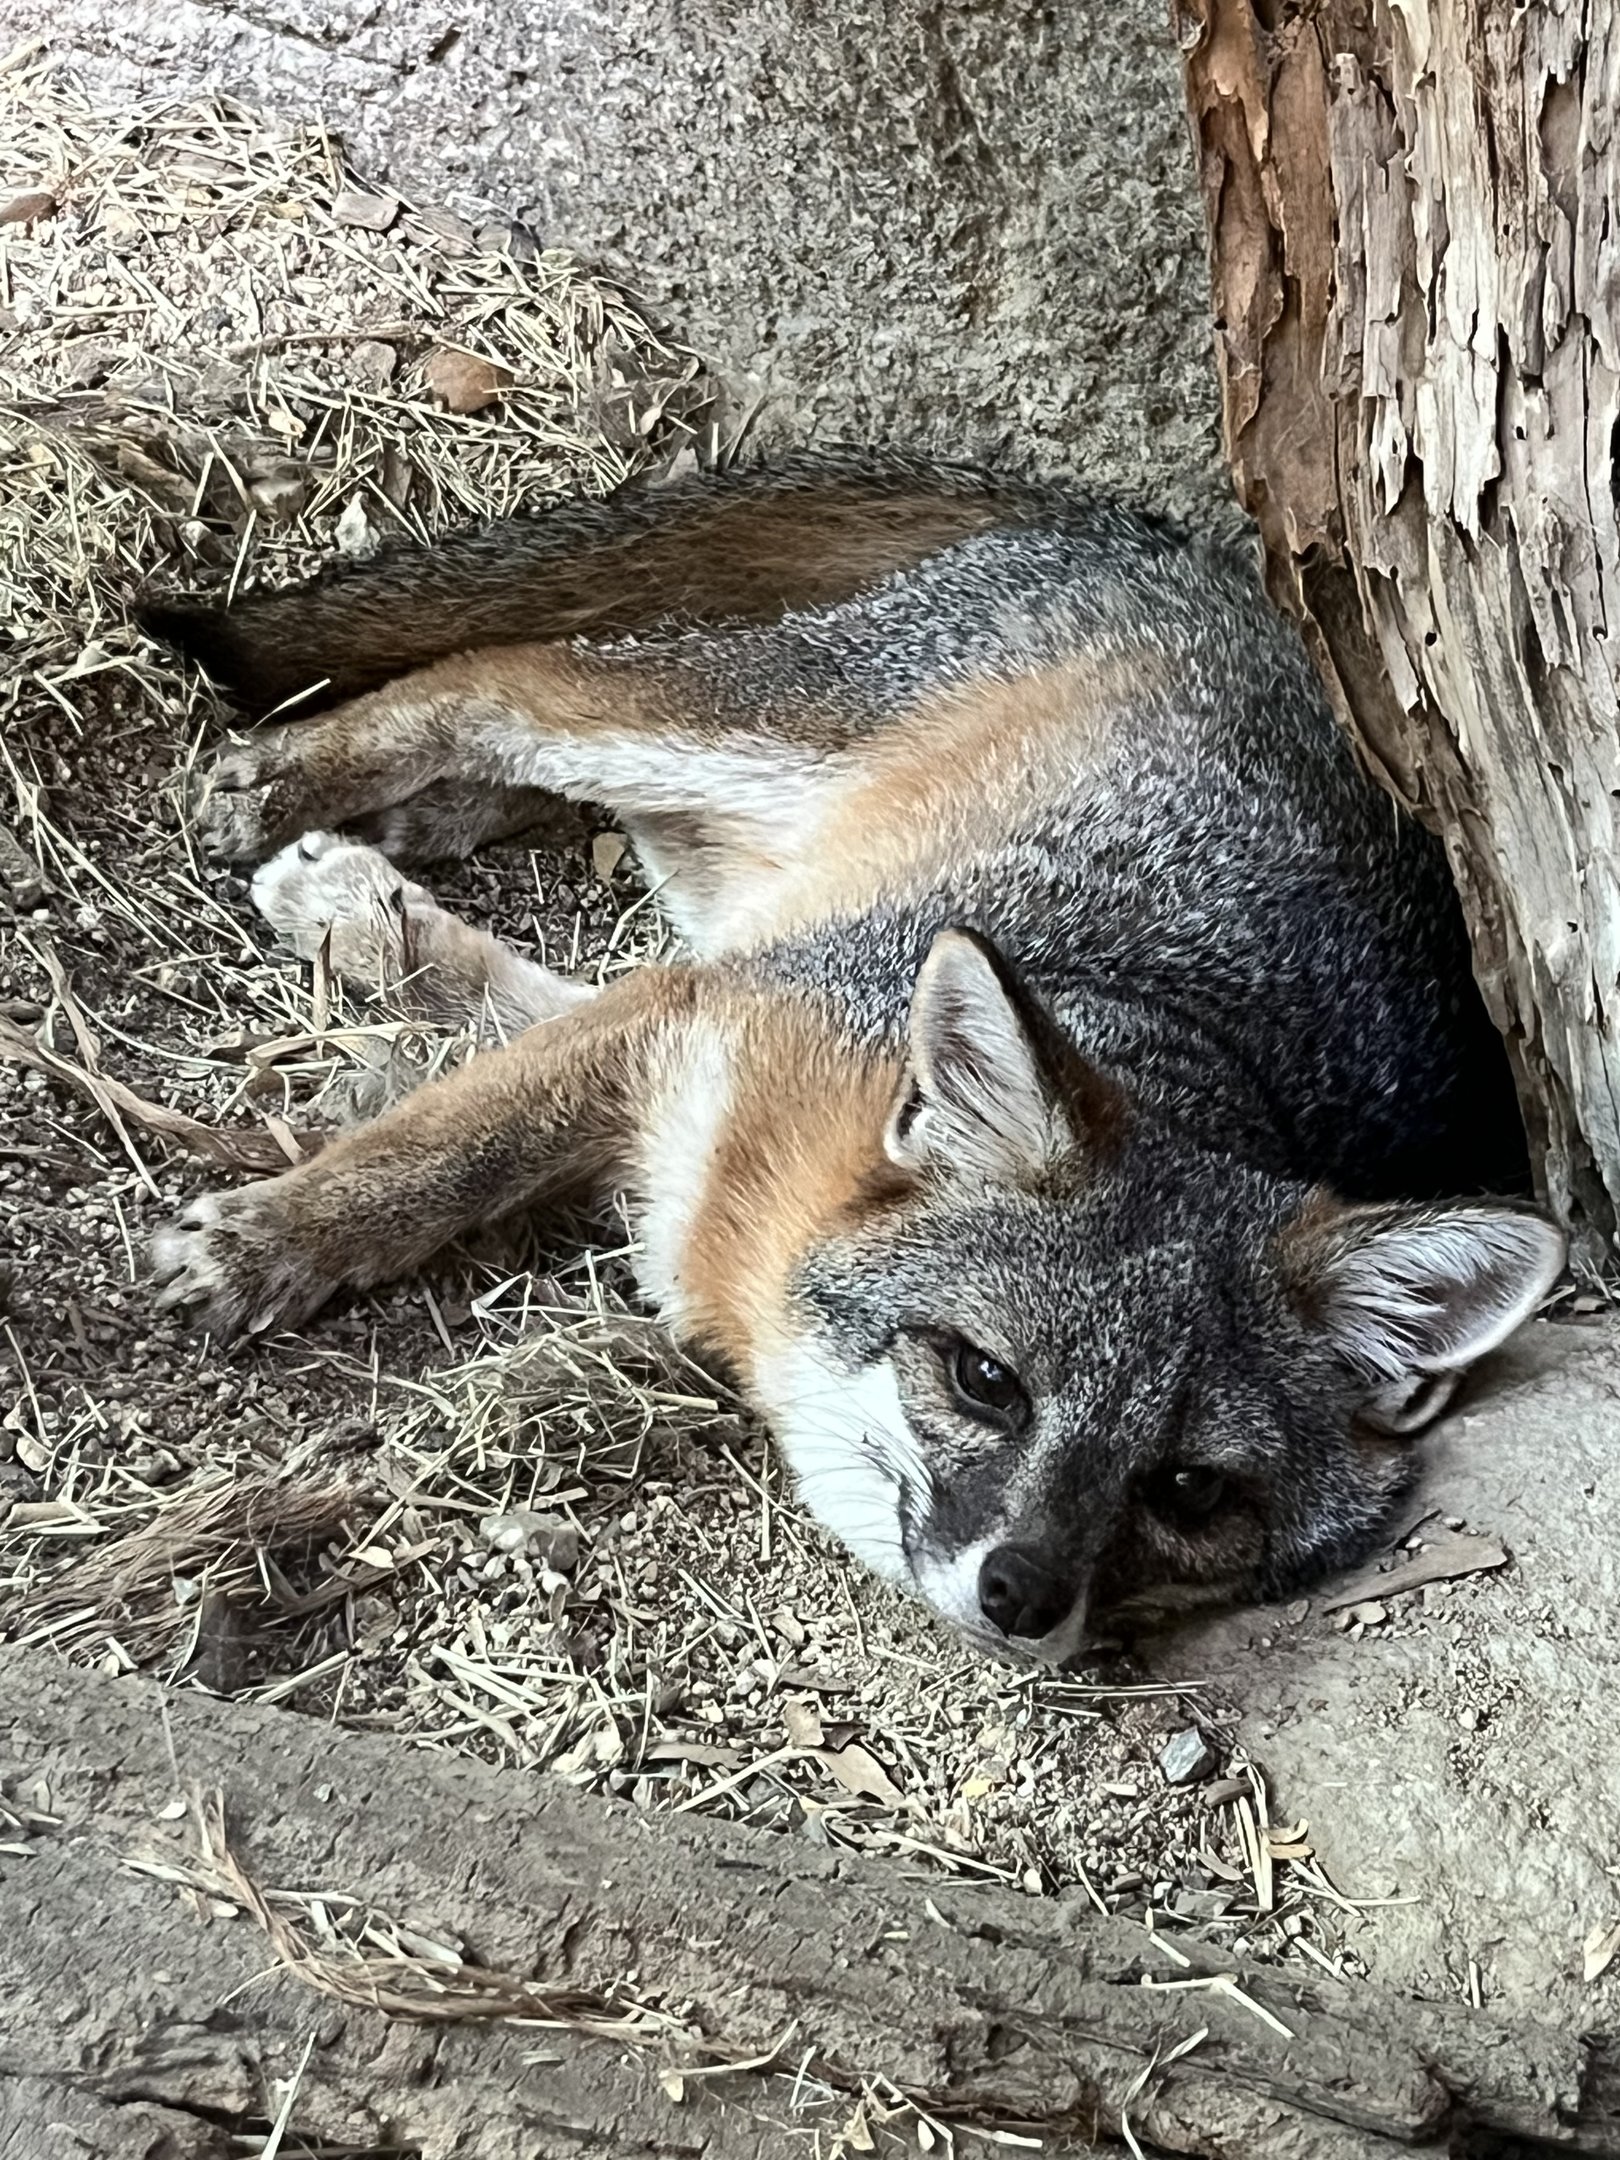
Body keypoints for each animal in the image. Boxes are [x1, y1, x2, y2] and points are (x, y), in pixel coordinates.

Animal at [143, 450, 1565, 1663]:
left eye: (1188, 1490)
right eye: (987, 1382)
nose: (1023, 1594)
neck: (760, 1249)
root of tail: (1202, 560)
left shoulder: (709, 999)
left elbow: (506, 1056)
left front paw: (365, 949)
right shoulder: (700, 1012)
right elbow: (443, 1149)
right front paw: (270, 1239)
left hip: (734, 842)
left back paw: (371, 881)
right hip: (727, 735)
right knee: (500, 678)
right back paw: (293, 787)